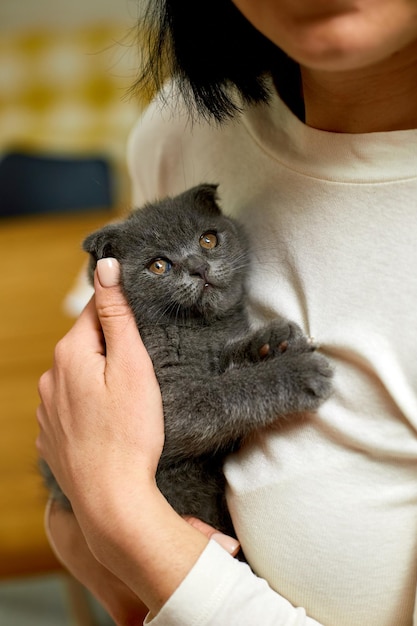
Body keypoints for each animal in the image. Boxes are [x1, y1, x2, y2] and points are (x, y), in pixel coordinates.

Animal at [39, 183, 332, 532]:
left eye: (208, 240)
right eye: (159, 265)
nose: (198, 266)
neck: (203, 328)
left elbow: (226, 361)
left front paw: (272, 341)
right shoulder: (169, 402)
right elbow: (226, 391)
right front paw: (297, 372)